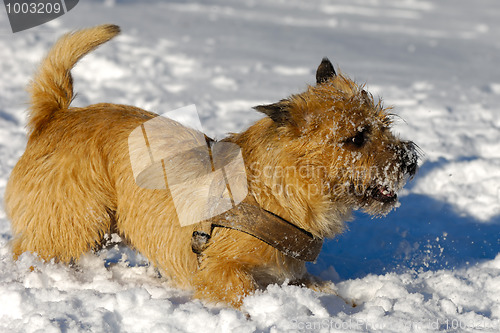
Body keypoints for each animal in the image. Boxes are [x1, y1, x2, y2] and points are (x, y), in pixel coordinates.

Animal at [3, 24, 418, 308]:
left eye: (384, 123)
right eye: (356, 138)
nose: (410, 160)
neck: (275, 193)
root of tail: (55, 116)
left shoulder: (291, 274)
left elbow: (324, 287)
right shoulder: (220, 270)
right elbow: (242, 290)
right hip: (76, 219)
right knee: (30, 249)